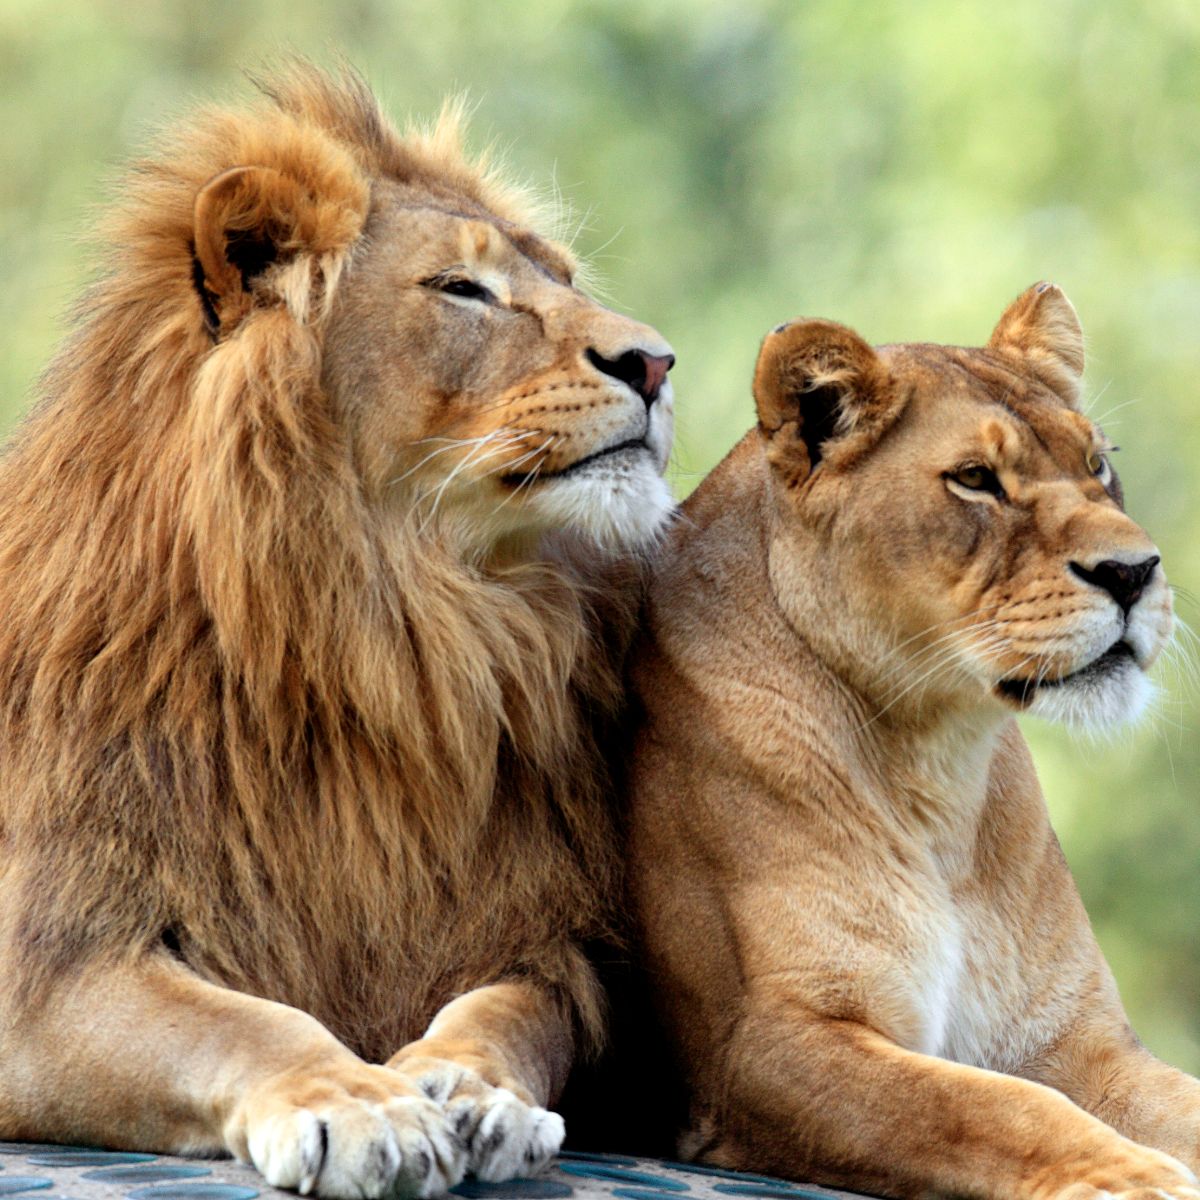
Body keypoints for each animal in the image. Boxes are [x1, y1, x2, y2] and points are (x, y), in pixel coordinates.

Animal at [0, 65, 675, 1199]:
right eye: (462, 290)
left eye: (566, 276)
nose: (660, 362)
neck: (387, 630)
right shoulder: (46, 960)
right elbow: (240, 1023)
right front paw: (360, 1106)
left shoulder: (547, 944)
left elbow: (506, 1015)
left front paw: (467, 1089)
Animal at [624, 283, 1200, 1200]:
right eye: (975, 479)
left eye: (1097, 463)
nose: (1134, 572)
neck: (938, 766)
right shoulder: (761, 1047)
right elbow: (992, 1107)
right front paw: (1136, 1177)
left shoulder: (1073, 1039)